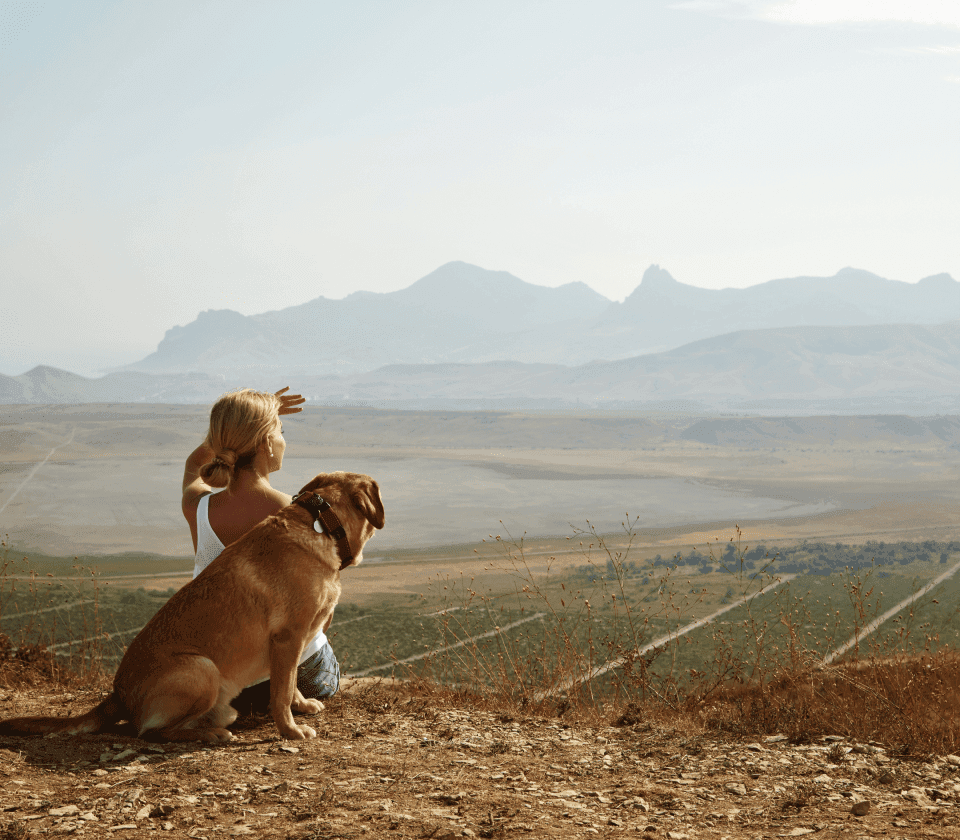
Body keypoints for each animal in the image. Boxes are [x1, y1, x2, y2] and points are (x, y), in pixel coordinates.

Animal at [0, 472, 382, 740]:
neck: (323, 524)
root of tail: (117, 694)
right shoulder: (288, 638)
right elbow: (282, 693)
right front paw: (290, 730)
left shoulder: (292, 644)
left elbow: (289, 685)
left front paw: (301, 708)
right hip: (201, 669)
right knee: (148, 731)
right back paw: (212, 735)